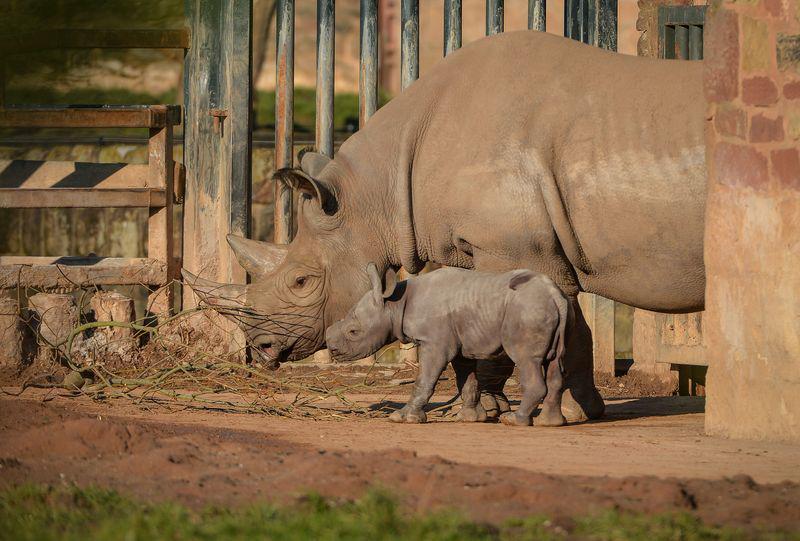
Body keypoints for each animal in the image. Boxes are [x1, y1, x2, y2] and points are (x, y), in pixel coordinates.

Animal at [328, 264, 572, 428]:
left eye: (353, 332)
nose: (331, 348)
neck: (396, 303)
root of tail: (555, 296)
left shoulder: (434, 342)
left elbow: (425, 379)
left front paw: (403, 418)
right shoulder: (460, 346)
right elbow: (466, 380)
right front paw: (470, 418)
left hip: (527, 311)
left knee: (526, 360)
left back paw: (513, 420)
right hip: (554, 310)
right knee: (554, 364)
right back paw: (550, 423)